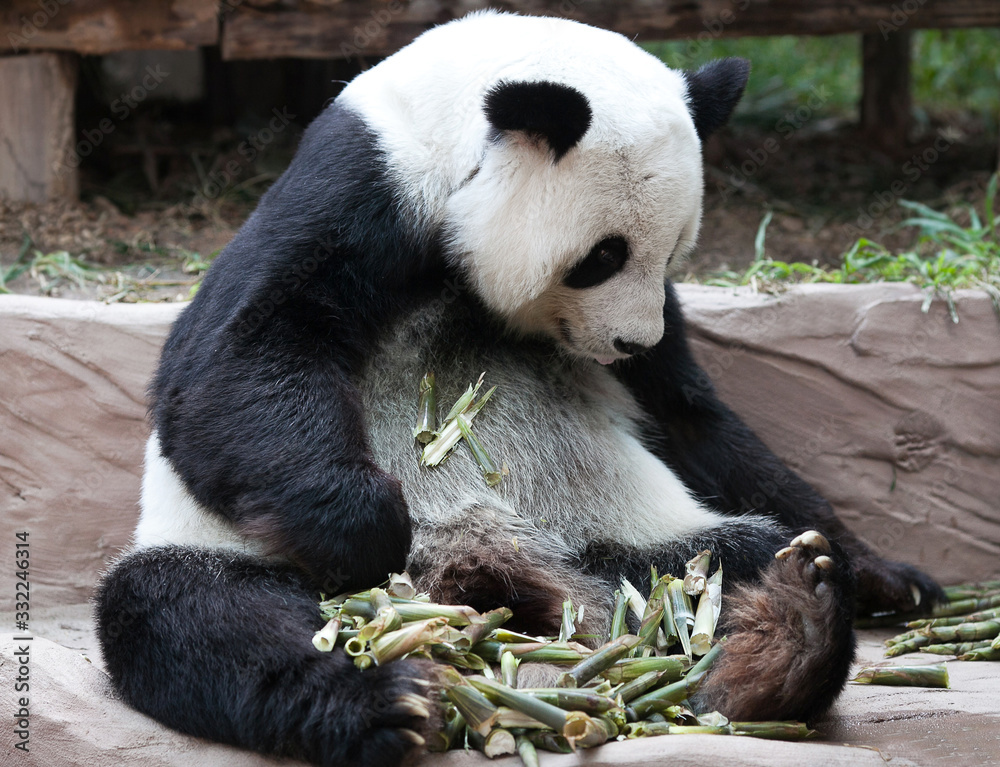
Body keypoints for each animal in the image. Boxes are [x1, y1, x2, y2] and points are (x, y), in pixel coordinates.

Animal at [95, 11, 943, 767]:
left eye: (674, 249)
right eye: (602, 255)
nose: (632, 342)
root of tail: (494, 581)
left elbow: (693, 419)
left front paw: (888, 574)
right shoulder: (361, 190)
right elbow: (232, 358)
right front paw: (367, 528)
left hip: (620, 546)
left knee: (728, 564)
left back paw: (788, 633)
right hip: (247, 561)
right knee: (203, 617)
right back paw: (388, 702)